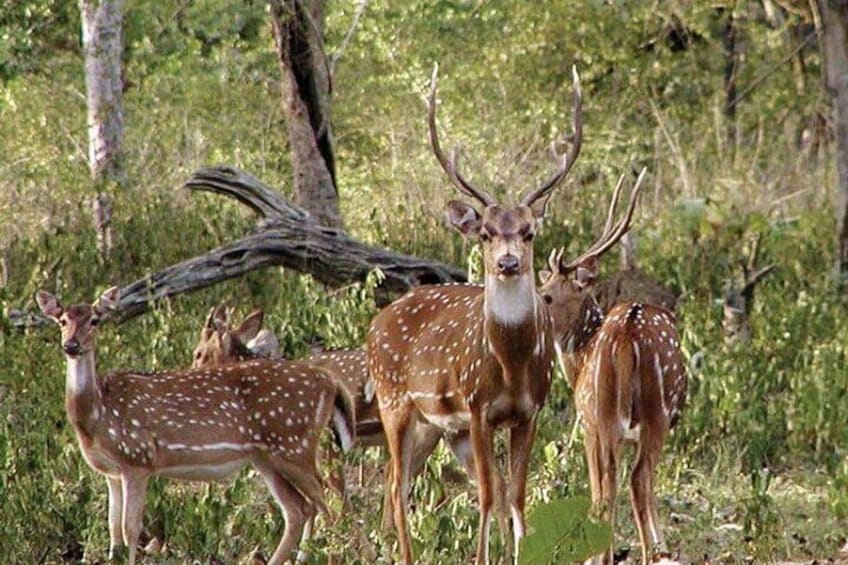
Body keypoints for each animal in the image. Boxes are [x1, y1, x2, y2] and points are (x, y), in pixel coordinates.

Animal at [35, 288, 354, 560]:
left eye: (95, 320)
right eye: (62, 320)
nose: (71, 345)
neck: (96, 418)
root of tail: (328, 382)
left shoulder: (138, 459)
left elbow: (130, 530)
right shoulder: (110, 472)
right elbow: (113, 531)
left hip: (294, 444)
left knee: (331, 504)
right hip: (266, 457)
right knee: (299, 510)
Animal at [368, 64, 580, 560]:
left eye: (528, 231)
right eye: (485, 233)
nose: (508, 263)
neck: (510, 364)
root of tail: (375, 324)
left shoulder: (529, 412)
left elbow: (514, 493)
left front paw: (522, 552)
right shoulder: (478, 405)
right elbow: (485, 494)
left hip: (441, 426)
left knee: (398, 480)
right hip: (394, 401)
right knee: (395, 484)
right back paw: (404, 555)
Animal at [536, 170, 688, 560]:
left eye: (547, 294)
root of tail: (626, 335)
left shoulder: (587, 423)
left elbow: (599, 489)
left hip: (607, 415)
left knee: (621, 483)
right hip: (648, 415)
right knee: (634, 479)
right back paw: (647, 553)